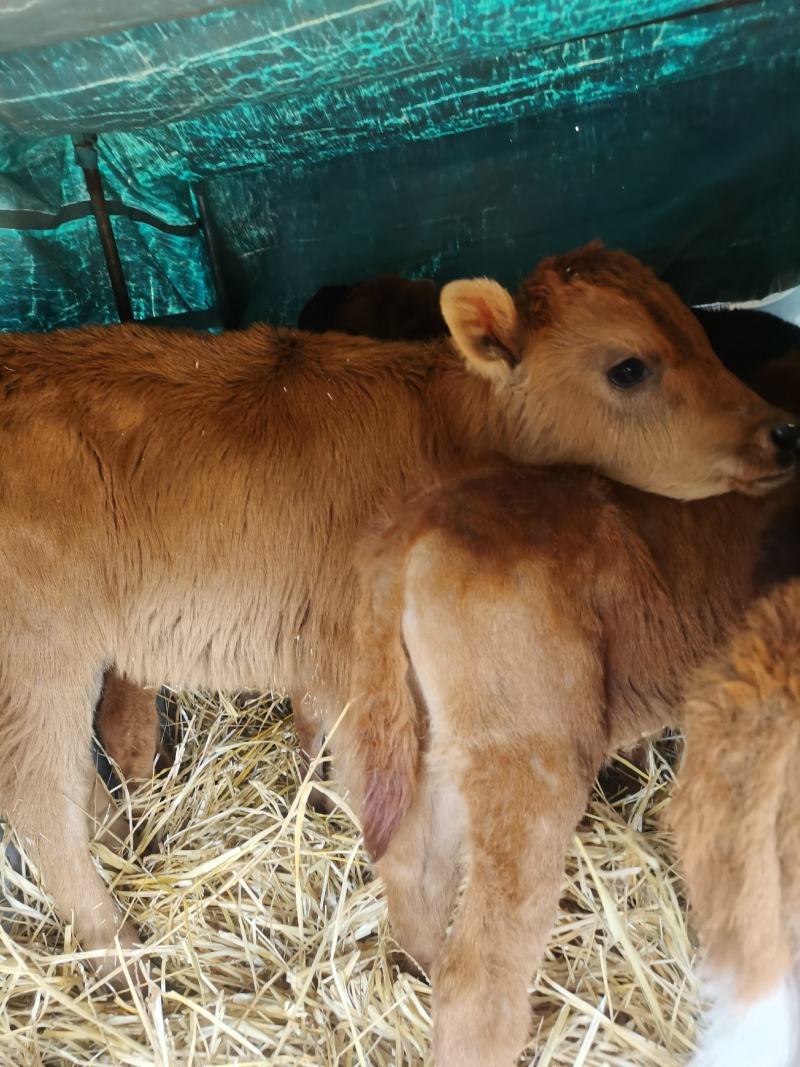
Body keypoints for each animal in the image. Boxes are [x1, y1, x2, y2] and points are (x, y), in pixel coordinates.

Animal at [0, 244, 789, 981]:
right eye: (628, 367)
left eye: (697, 329)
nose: (781, 431)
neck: (445, 426)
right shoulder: (352, 647)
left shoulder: (322, 648)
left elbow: (316, 734)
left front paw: (320, 808)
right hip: (42, 656)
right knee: (38, 797)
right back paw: (116, 945)